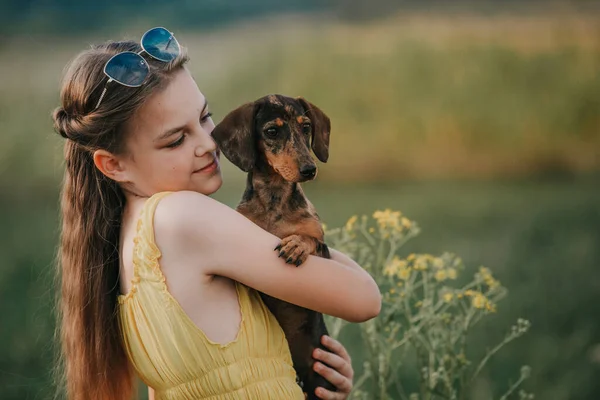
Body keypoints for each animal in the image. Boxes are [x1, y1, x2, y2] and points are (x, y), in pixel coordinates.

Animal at [211, 95, 332, 398]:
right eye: (272, 131)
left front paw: (296, 245)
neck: (274, 202)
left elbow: (311, 239)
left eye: (306, 126)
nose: (310, 169)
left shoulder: (326, 252)